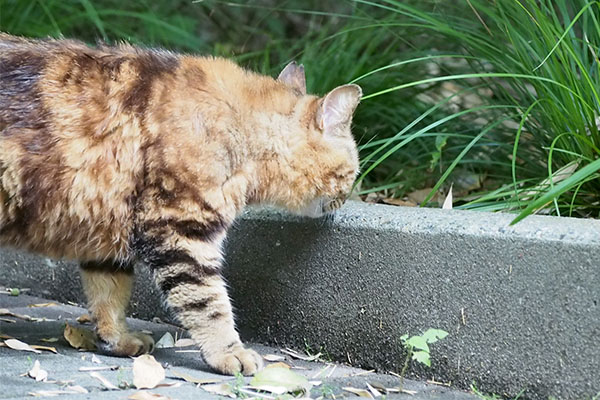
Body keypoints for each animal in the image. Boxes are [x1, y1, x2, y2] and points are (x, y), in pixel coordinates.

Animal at [0, 33, 360, 376]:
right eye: (352, 172)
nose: (346, 197)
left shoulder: (108, 233)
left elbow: (109, 296)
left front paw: (118, 339)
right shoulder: (180, 232)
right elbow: (209, 304)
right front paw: (229, 353)